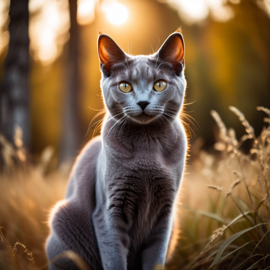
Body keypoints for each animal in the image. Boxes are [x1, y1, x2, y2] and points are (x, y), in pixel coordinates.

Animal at [46, 30, 188, 270]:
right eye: (125, 86)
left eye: (159, 85)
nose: (143, 102)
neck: (146, 145)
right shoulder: (108, 211)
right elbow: (114, 259)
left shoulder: (165, 216)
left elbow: (155, 260)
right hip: (63, 219)